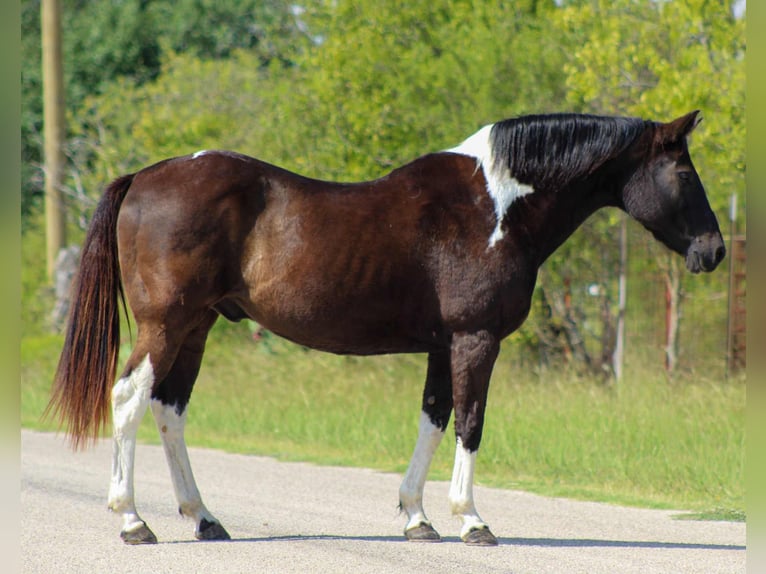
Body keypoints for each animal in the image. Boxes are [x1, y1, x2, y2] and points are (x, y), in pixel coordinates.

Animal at [47, 111, 725, 546]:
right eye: (685, 174)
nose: (714, 251)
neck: (496, 208)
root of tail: (144, 176)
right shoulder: (475, 339)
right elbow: (471, 423)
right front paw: (472, 521)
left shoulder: (442, 346)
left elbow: (434, 419)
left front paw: (417, 518)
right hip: (167, 325)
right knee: (129, 398)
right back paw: (134, 522)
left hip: (198, 327)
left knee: (169, 409)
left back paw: (204, 519)